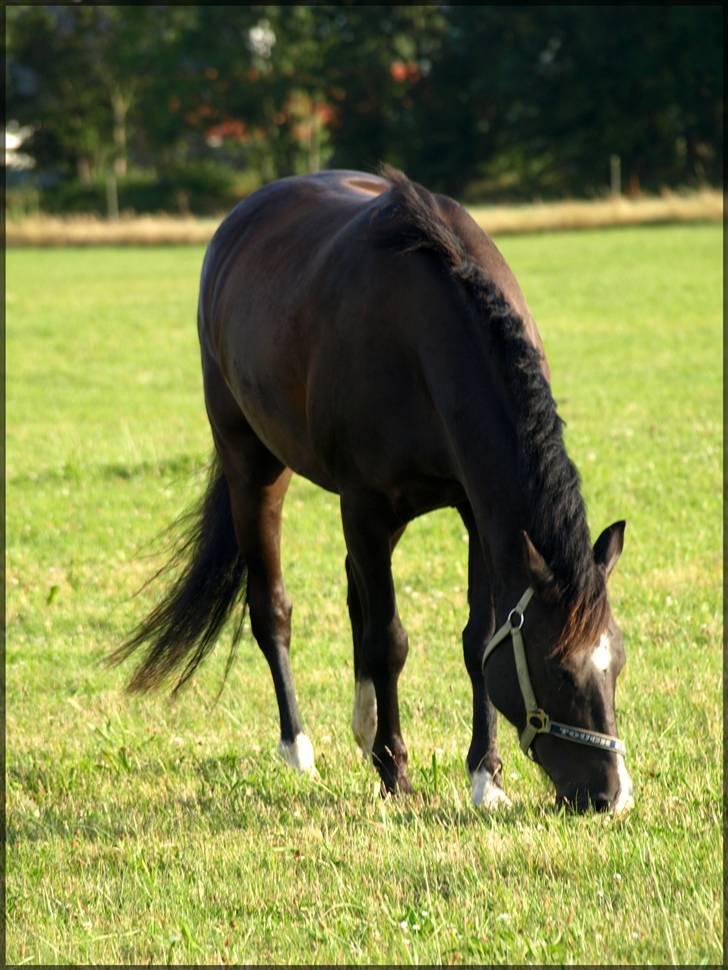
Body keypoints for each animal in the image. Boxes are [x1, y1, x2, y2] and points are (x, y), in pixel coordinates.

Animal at [111, 166, 636, 808]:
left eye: (617, 663)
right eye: (558, 667)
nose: (610, 795)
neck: (425, 335)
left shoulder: (476, 511)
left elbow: (477, 641)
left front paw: (484, 776)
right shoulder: (364, 506)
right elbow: (390, 642)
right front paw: (397, 774)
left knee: (352, 589)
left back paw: (364, 729)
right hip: (253, 465)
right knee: (273, 610)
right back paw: (300, 749)